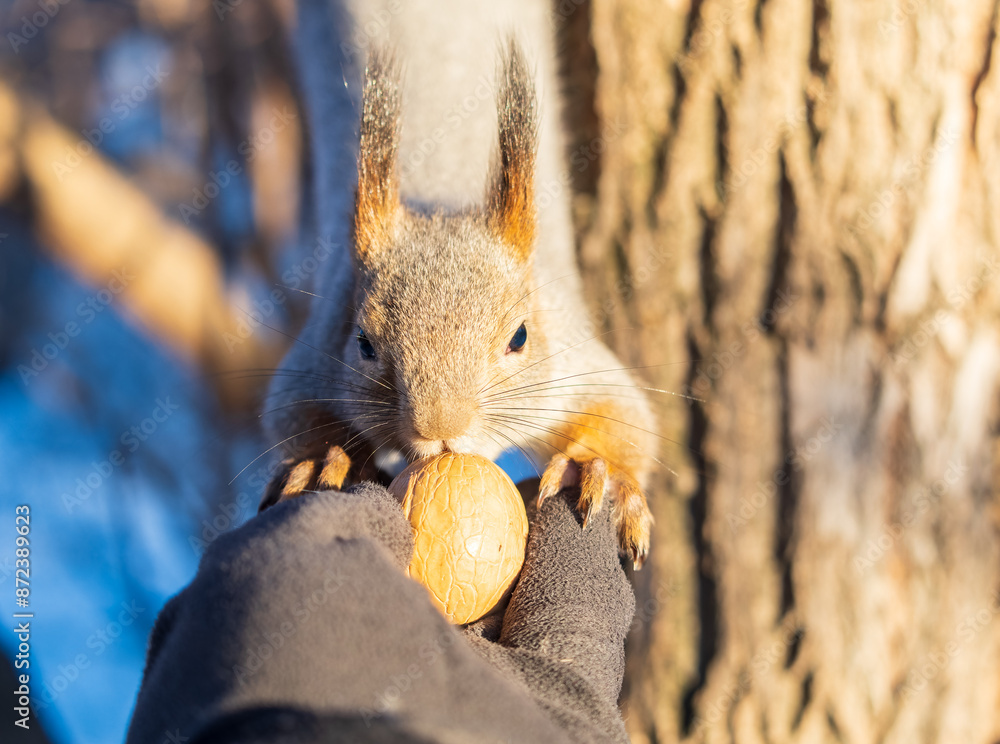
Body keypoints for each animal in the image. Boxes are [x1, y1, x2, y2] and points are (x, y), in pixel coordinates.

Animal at [261, 0, 658, 567]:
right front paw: (326, 460)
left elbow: (627, 415)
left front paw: (592, 469)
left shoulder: (575, 353)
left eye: (520, 337)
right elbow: (290, 415)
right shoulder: (316, 352)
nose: (440, 429)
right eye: (362, 343)